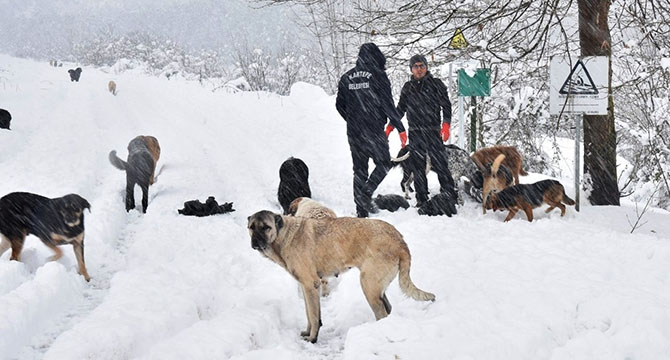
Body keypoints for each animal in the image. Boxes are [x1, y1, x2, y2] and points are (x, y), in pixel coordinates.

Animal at [247, 211, 436, 344]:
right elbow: (309, 313)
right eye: (251, 227)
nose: (255, 242)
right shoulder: (305, 287)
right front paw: (308, 333)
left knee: (382, 312)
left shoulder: (310, 285)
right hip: (376, 286)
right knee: (387, 309)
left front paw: (313, 339)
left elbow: (314, 316)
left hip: (368, 284)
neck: (284, 235)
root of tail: (400, 240)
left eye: (266, 227)